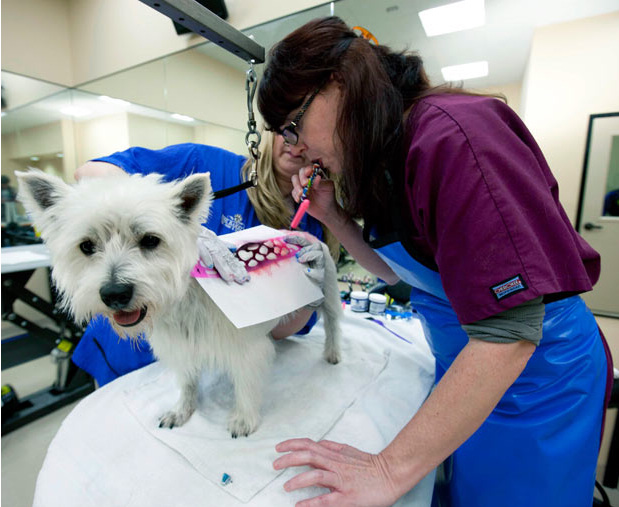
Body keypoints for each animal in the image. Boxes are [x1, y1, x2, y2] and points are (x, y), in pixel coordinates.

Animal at [17, 170, 342, 436]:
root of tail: (295, 231)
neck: (184, 301)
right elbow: (187, 383)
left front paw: (243, 420)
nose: (114, 293)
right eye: (86, 246)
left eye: (150, 240)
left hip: (327, 289)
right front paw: (181, 412)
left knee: (333, 324)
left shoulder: (247, 351)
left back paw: (333, 353)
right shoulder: (181, 347)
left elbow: (246, 387)